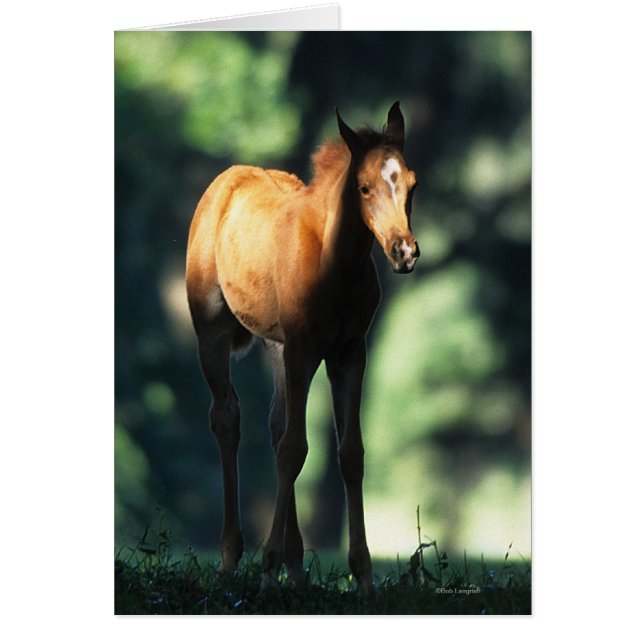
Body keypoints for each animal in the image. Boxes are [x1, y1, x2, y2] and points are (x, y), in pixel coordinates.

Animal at [186, 102, 419, 593]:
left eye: (411, 183)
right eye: (364, 187)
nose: (404, 252)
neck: (337, 266)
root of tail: (226, 180)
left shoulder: (349, 352)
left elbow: (349, 453)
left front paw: (363, 576)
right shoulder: (303, 348)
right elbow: (295, 449)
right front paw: (267, 568)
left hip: (277, 347)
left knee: (276, 425)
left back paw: (295, 568)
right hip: (213, 334)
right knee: (228, 418)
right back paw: (233, 559)